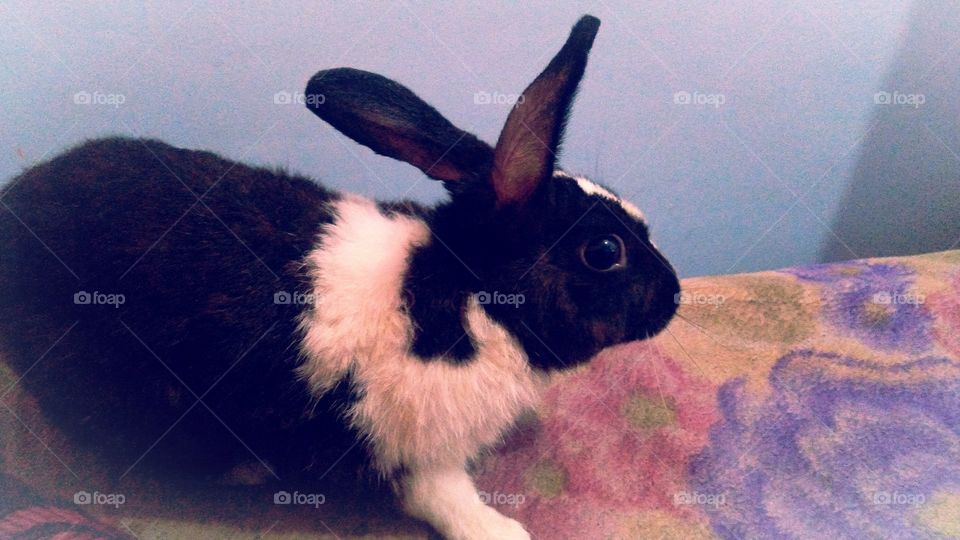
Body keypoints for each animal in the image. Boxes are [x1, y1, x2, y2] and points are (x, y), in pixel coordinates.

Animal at [0, 14, 679, 540]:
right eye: (604, 251)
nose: (673, 297)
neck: (469, 295)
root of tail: (19, 206)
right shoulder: (415, 445)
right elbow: (445, 496)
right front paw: (502, 530)